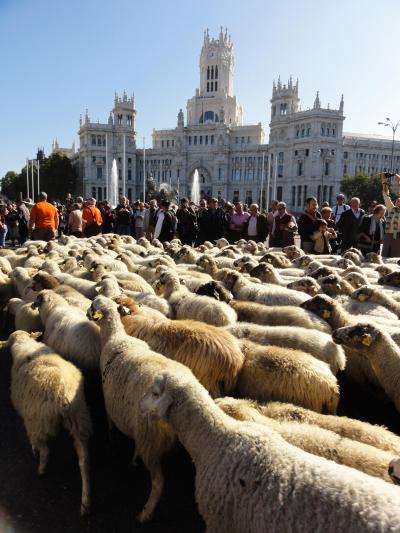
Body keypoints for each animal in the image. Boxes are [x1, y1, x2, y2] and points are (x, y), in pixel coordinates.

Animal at [4, 330, 91, 512]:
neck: (25, 345)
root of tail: (64, 394)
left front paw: (34, 450)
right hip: (79, 417)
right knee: (84, 460)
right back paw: (86, 502)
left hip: (38, 420)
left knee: (45, 451)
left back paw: (41, 469)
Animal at [88, 298, 200, 520]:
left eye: (93, 306)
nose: (86, 313)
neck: (115, 336)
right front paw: (134, 456)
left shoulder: (109, 402)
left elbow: (110, 422)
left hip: (151, 438)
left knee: (158, 483)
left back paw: (146, 513)